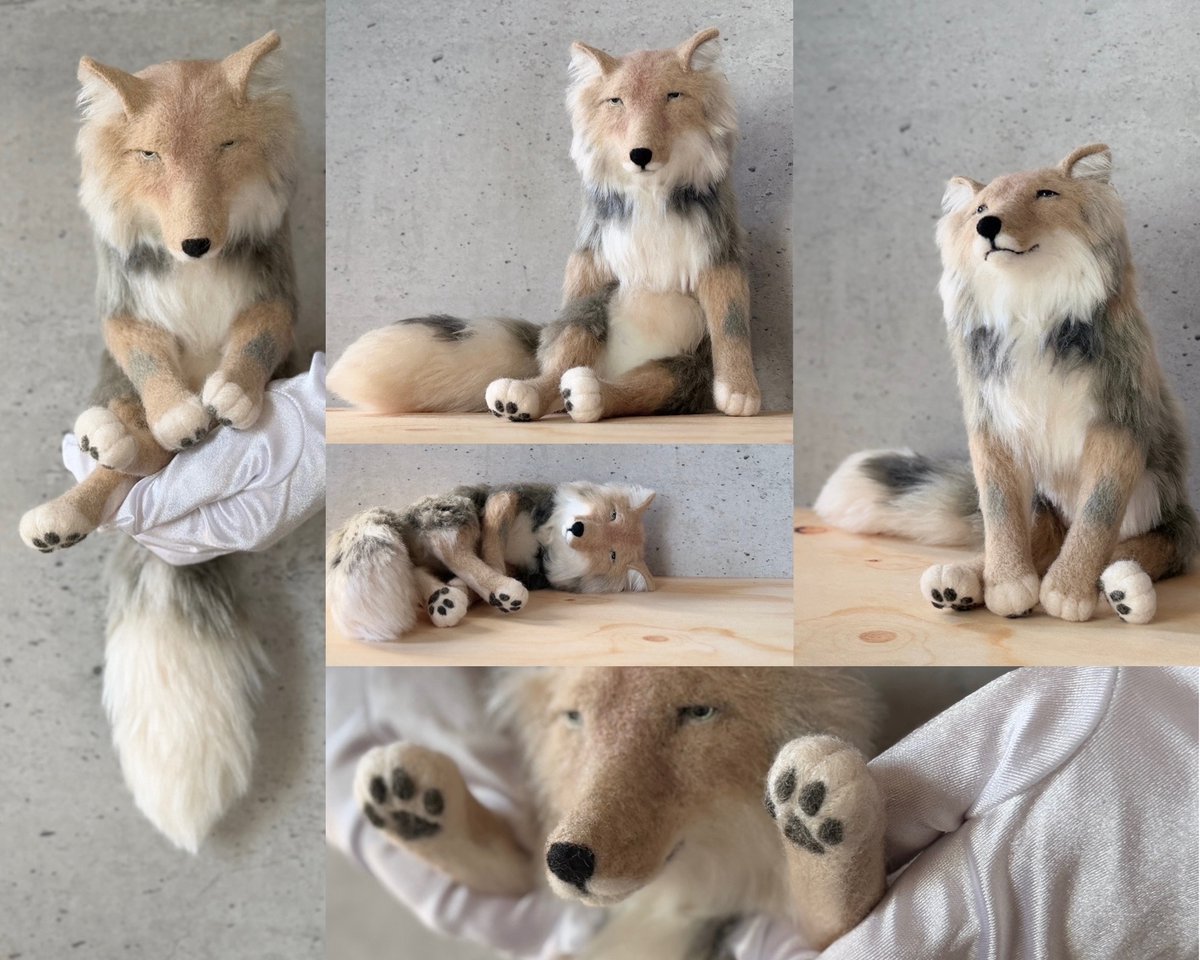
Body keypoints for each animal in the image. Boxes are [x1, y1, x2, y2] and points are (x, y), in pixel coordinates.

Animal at [15, 34, 300, 851]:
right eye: (149, 154)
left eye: (228, 145)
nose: (197, 242)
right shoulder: (125, 316)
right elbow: (147, 362)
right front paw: (176, 413)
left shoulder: (276, 299)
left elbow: (255, 341)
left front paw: (232, 394)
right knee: (123, 456)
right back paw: (82, 482)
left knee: (146, 467)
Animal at [327, 28, 762, 423]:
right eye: (616, 101)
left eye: (673, 96)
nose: (640, 154)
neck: (649, 195)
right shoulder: (590, 256)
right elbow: (572, 326)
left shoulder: (718, 253)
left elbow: (731, 322)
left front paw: (740, 393)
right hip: (593, 308)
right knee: (561, 359)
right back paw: (526, 396)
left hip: (683, 367)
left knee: (645, 386)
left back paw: (587, 395)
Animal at [327, 483, 657, 642]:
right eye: (612, 514)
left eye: (612, 555)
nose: (577, 529)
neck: (545, 541)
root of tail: (402, 516)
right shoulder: (506, 498)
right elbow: (492, 540)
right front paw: (494, 584)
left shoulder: (527, 571)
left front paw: (473, 592)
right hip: (458, 511)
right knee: (446, 545)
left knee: (421, 567)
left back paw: (444, 600)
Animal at [353, 668, 887, 958]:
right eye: (574, 717)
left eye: (699, 713)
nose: (567, 860)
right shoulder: (535, 878)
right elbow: (483, 850)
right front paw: (409, 802)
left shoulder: (791, 925)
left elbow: (839, 906)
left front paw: (814, 815)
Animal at [816, 144, 1198, 625]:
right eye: (980, 209)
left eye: (1045, 194)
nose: (988, 226)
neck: (1031, 306)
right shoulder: (993, 425)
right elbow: (1000, 517)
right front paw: (1006, 584)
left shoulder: (1118, 425)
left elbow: (1097, 518)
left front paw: (1068, 591)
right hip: (1042, 505)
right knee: (1036, 541)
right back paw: (957, 582)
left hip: (1164, 507)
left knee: (1152, 545)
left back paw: (1124, 587)